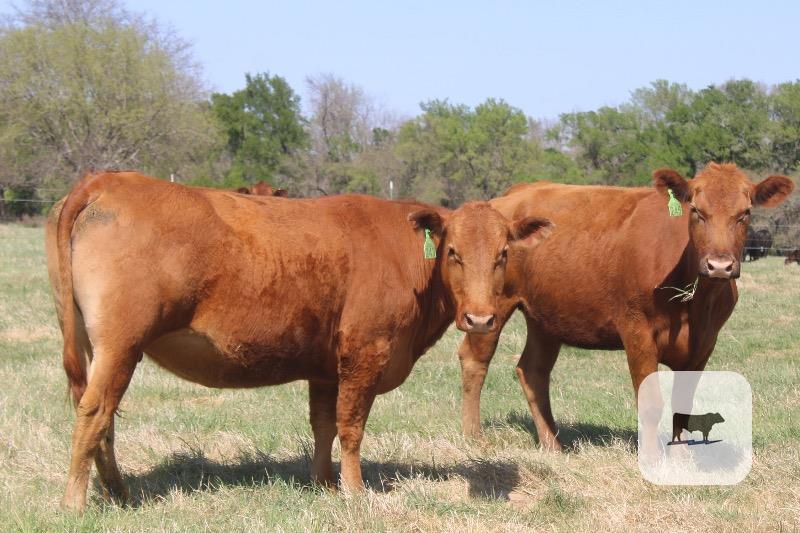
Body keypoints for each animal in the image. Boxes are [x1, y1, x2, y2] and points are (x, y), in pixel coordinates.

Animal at [44, 171, 553, 512]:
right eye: (452, 252)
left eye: (503, 253)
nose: (480, 318)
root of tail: (107, 180)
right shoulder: (365, 352)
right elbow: (351, 425)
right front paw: (354, 491)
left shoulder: (326, 366)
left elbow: (323, 424)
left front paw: (323, 484)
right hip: (120, 344)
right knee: (94, 411)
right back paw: (74, 503)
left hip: (97, 347)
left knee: (101, 416)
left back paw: (120, 494)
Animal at [455, 163, 794, 452]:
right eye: (697, 211)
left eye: (745, 213)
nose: (719, 266)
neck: (696, 306)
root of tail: (516, 193)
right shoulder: (637, 330)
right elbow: (651, 402)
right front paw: (654, 462)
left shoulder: (704, 343)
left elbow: (683, 405)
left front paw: (682, 458)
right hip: (489, 308)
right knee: (475, 359)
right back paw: (474, 438)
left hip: (545, 318)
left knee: (533, 370)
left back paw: (553, 445)